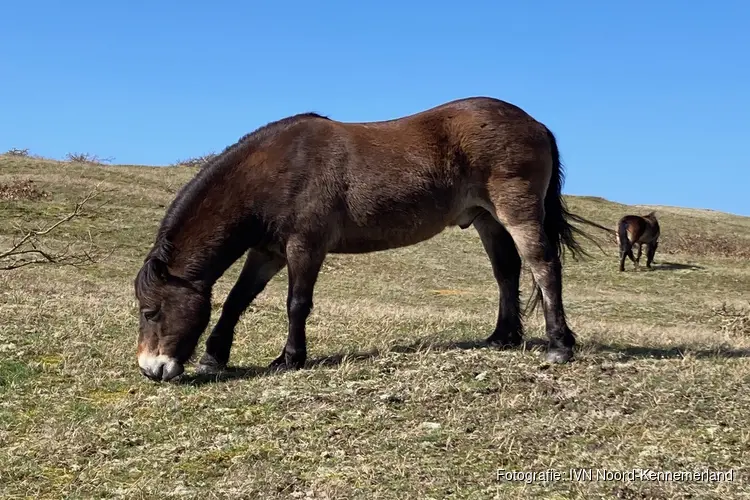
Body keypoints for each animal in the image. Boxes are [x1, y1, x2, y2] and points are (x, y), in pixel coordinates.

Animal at [135, 95, 592, 380]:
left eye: (150, 311)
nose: (150, 369)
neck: (273, 169)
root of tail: (534, 123)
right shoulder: (267, 252)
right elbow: (236, 300)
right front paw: (213, 357)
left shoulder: (305, 246)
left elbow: (296, 304)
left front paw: (289, 358)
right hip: (487, 219)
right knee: (507, 272)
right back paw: (503, 337)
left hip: (517, 211)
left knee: (543, 267)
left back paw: (559, 345)